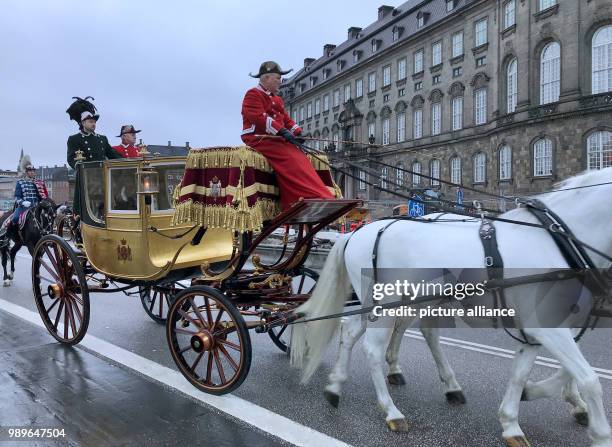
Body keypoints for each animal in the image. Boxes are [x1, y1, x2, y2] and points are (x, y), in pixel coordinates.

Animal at [292, 167, 612, 447]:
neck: (554, 241)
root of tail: (357, 233)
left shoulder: (540, 329)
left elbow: (523, 374)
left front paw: (515, 417)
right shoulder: (549, 328)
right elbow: (589, 379)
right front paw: (599, 433)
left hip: (391, 302)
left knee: (354, 333)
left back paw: (336, 387)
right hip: (388, 305)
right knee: (373, 348)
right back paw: (391, 410)